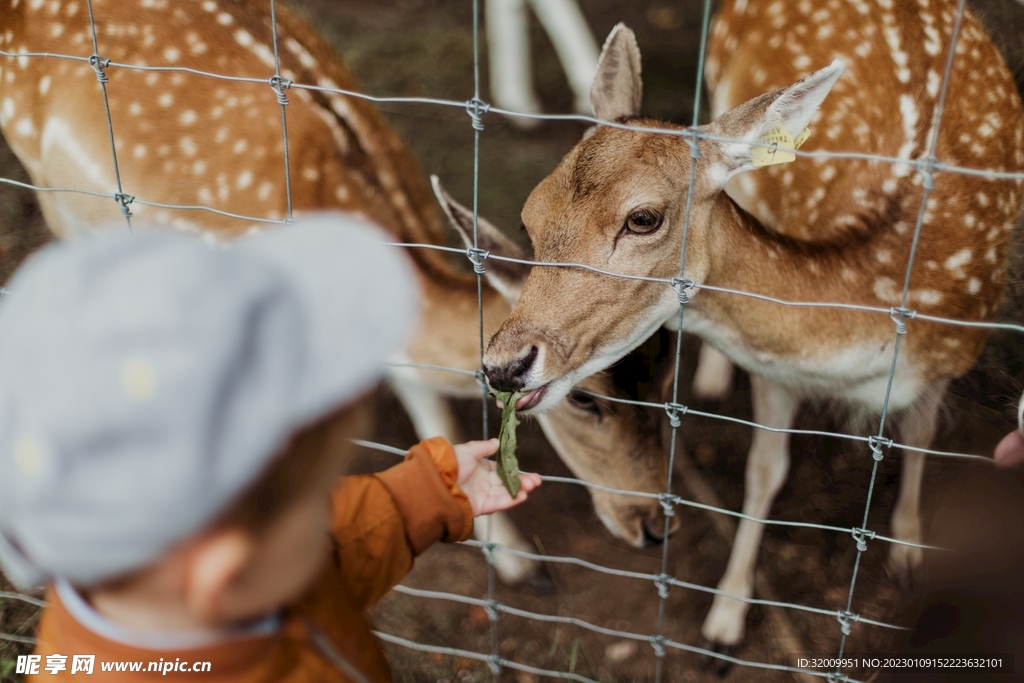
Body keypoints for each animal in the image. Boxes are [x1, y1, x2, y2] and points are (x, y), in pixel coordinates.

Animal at [467, 0, 1024, 652]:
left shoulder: (955, 351)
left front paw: (909, 553)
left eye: (643, 218)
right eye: (528, 217)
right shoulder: (775, 368)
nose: (503, 365)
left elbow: (919, 433)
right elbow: (765, 471)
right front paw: (725, 620)